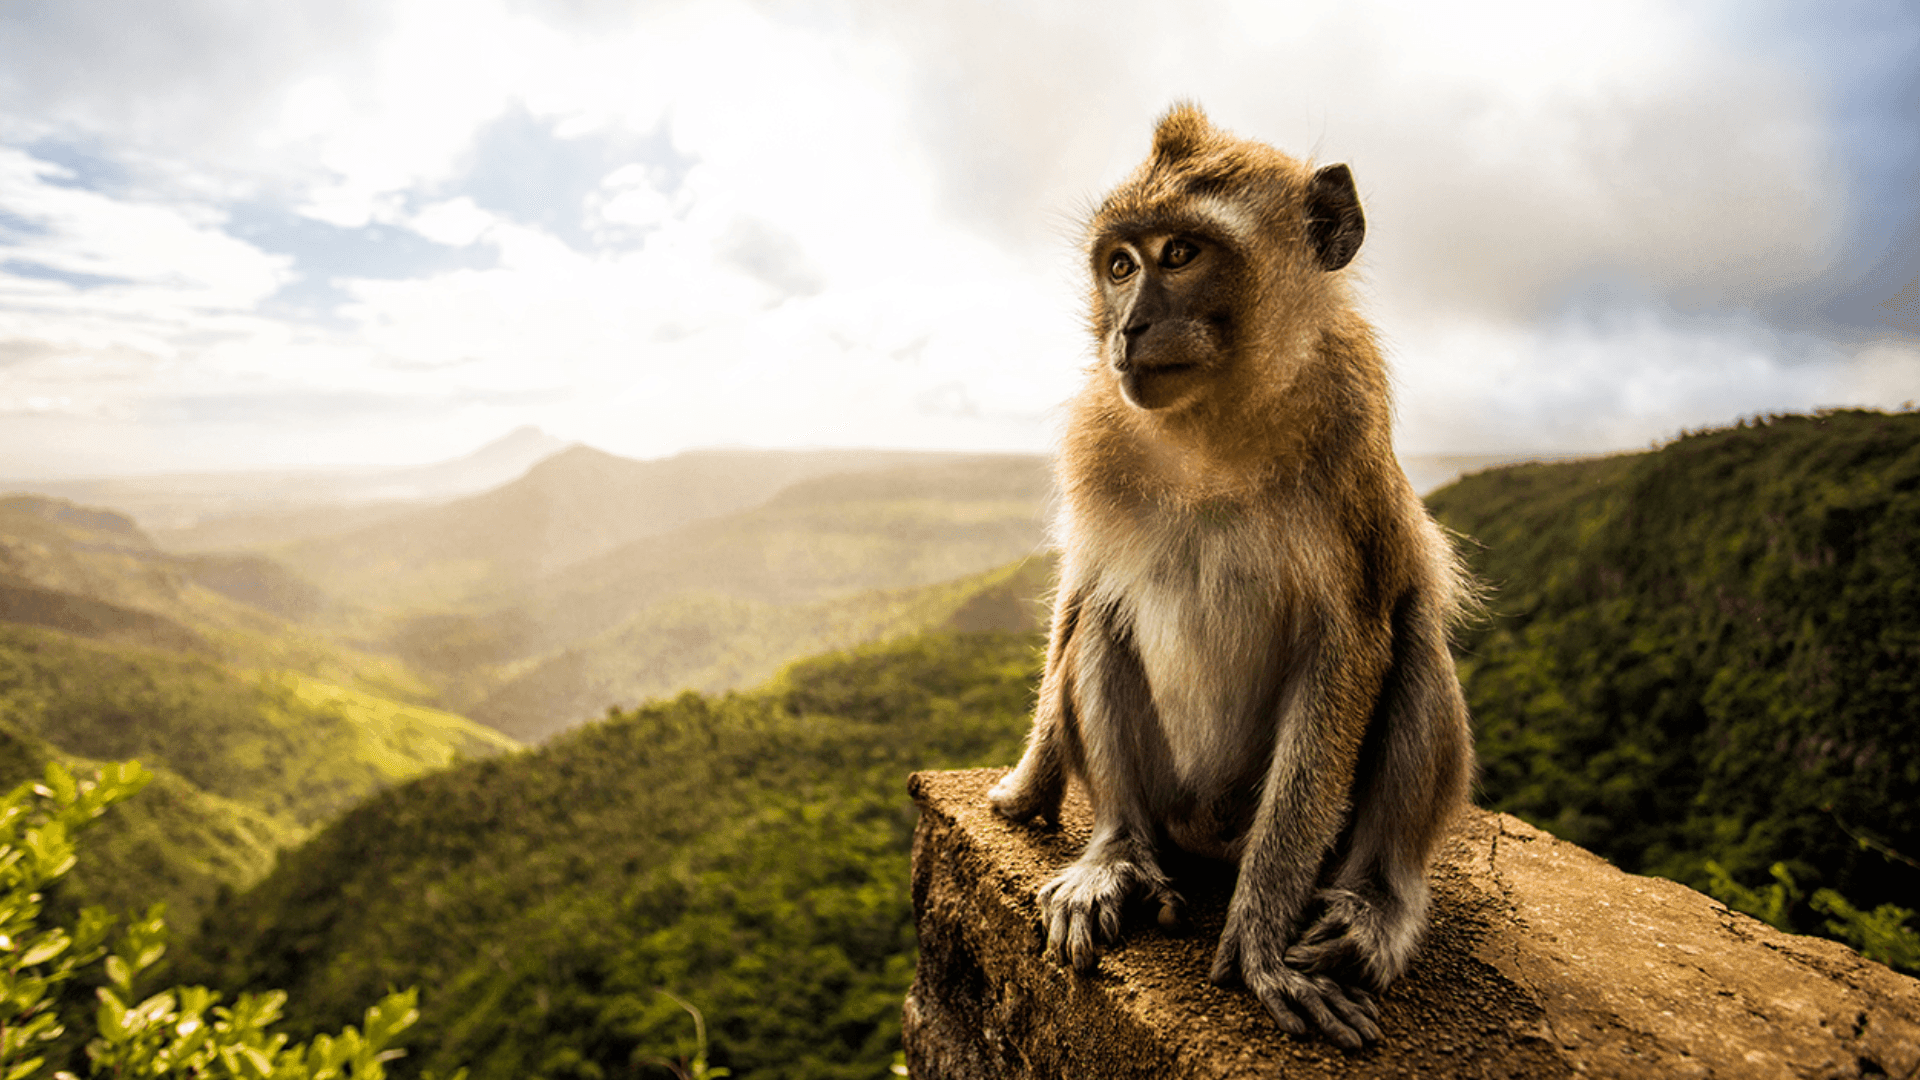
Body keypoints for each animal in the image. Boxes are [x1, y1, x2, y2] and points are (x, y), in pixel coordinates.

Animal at [990, 105, 1466, 1045]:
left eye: (1181, 253)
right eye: (1120, 264)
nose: (1128, 328)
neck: (1212, 425)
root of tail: (1205, 838)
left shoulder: (1351, 433)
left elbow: (1352, 642)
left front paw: (1258, 943)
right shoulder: (1096, 435)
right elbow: (1082, 589)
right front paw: (1028, 785)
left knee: (1413, 642)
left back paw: (1376, 903)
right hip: (1170, 805)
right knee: (1102, 623)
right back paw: (1116, 854)